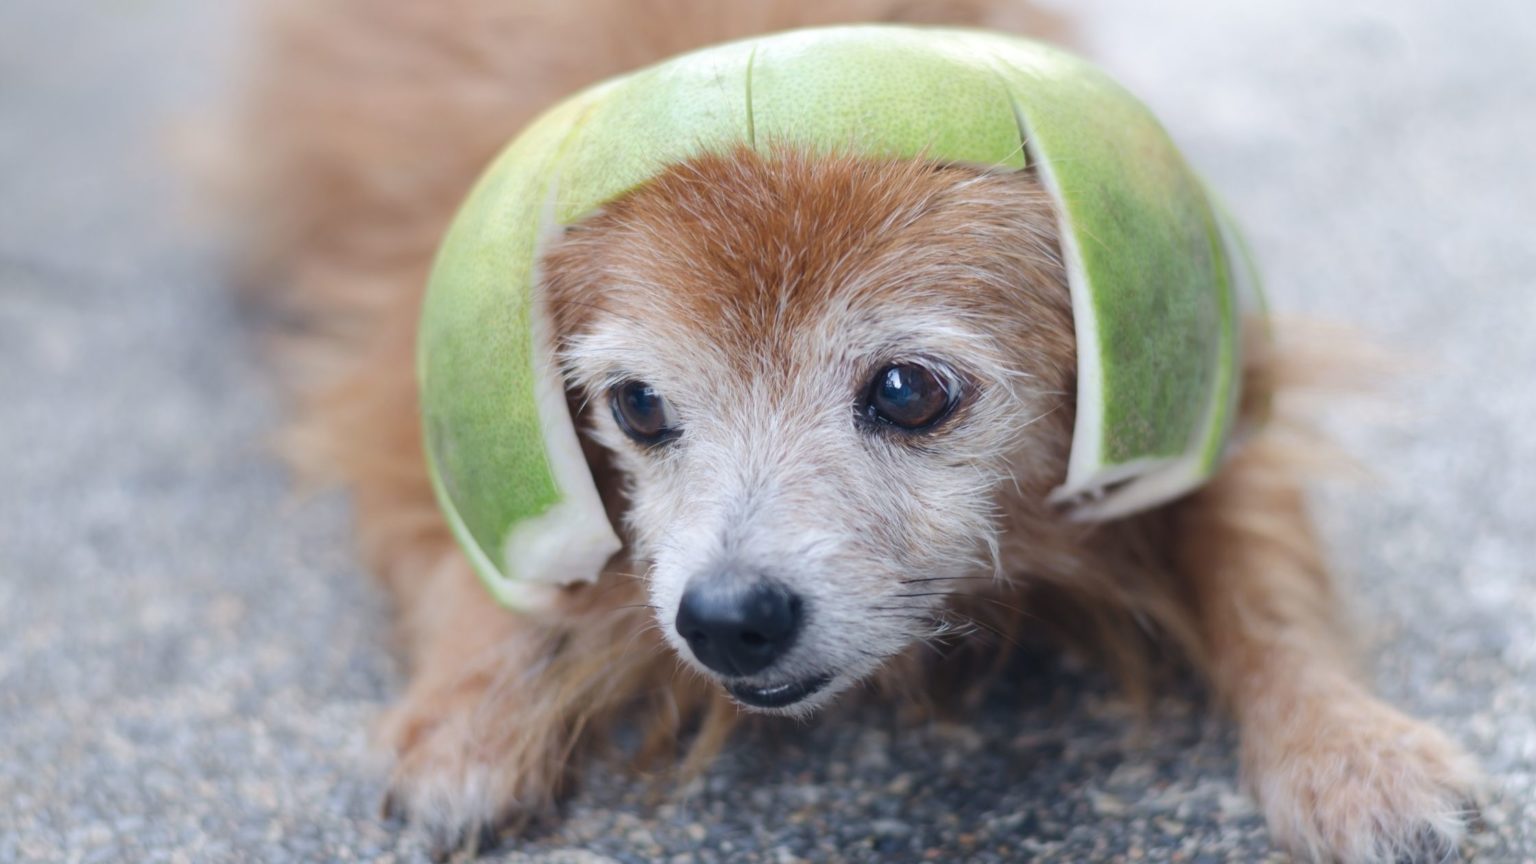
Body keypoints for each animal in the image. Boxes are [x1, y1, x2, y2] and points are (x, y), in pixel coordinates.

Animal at [222, 1, 1480, 854]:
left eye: (909, 392)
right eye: (639, 406)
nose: (727, 619)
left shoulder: (1196, 380)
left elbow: (1263, 581)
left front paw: (1348, 747)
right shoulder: (406, 371)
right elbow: (468, 555)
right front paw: (468, 719)